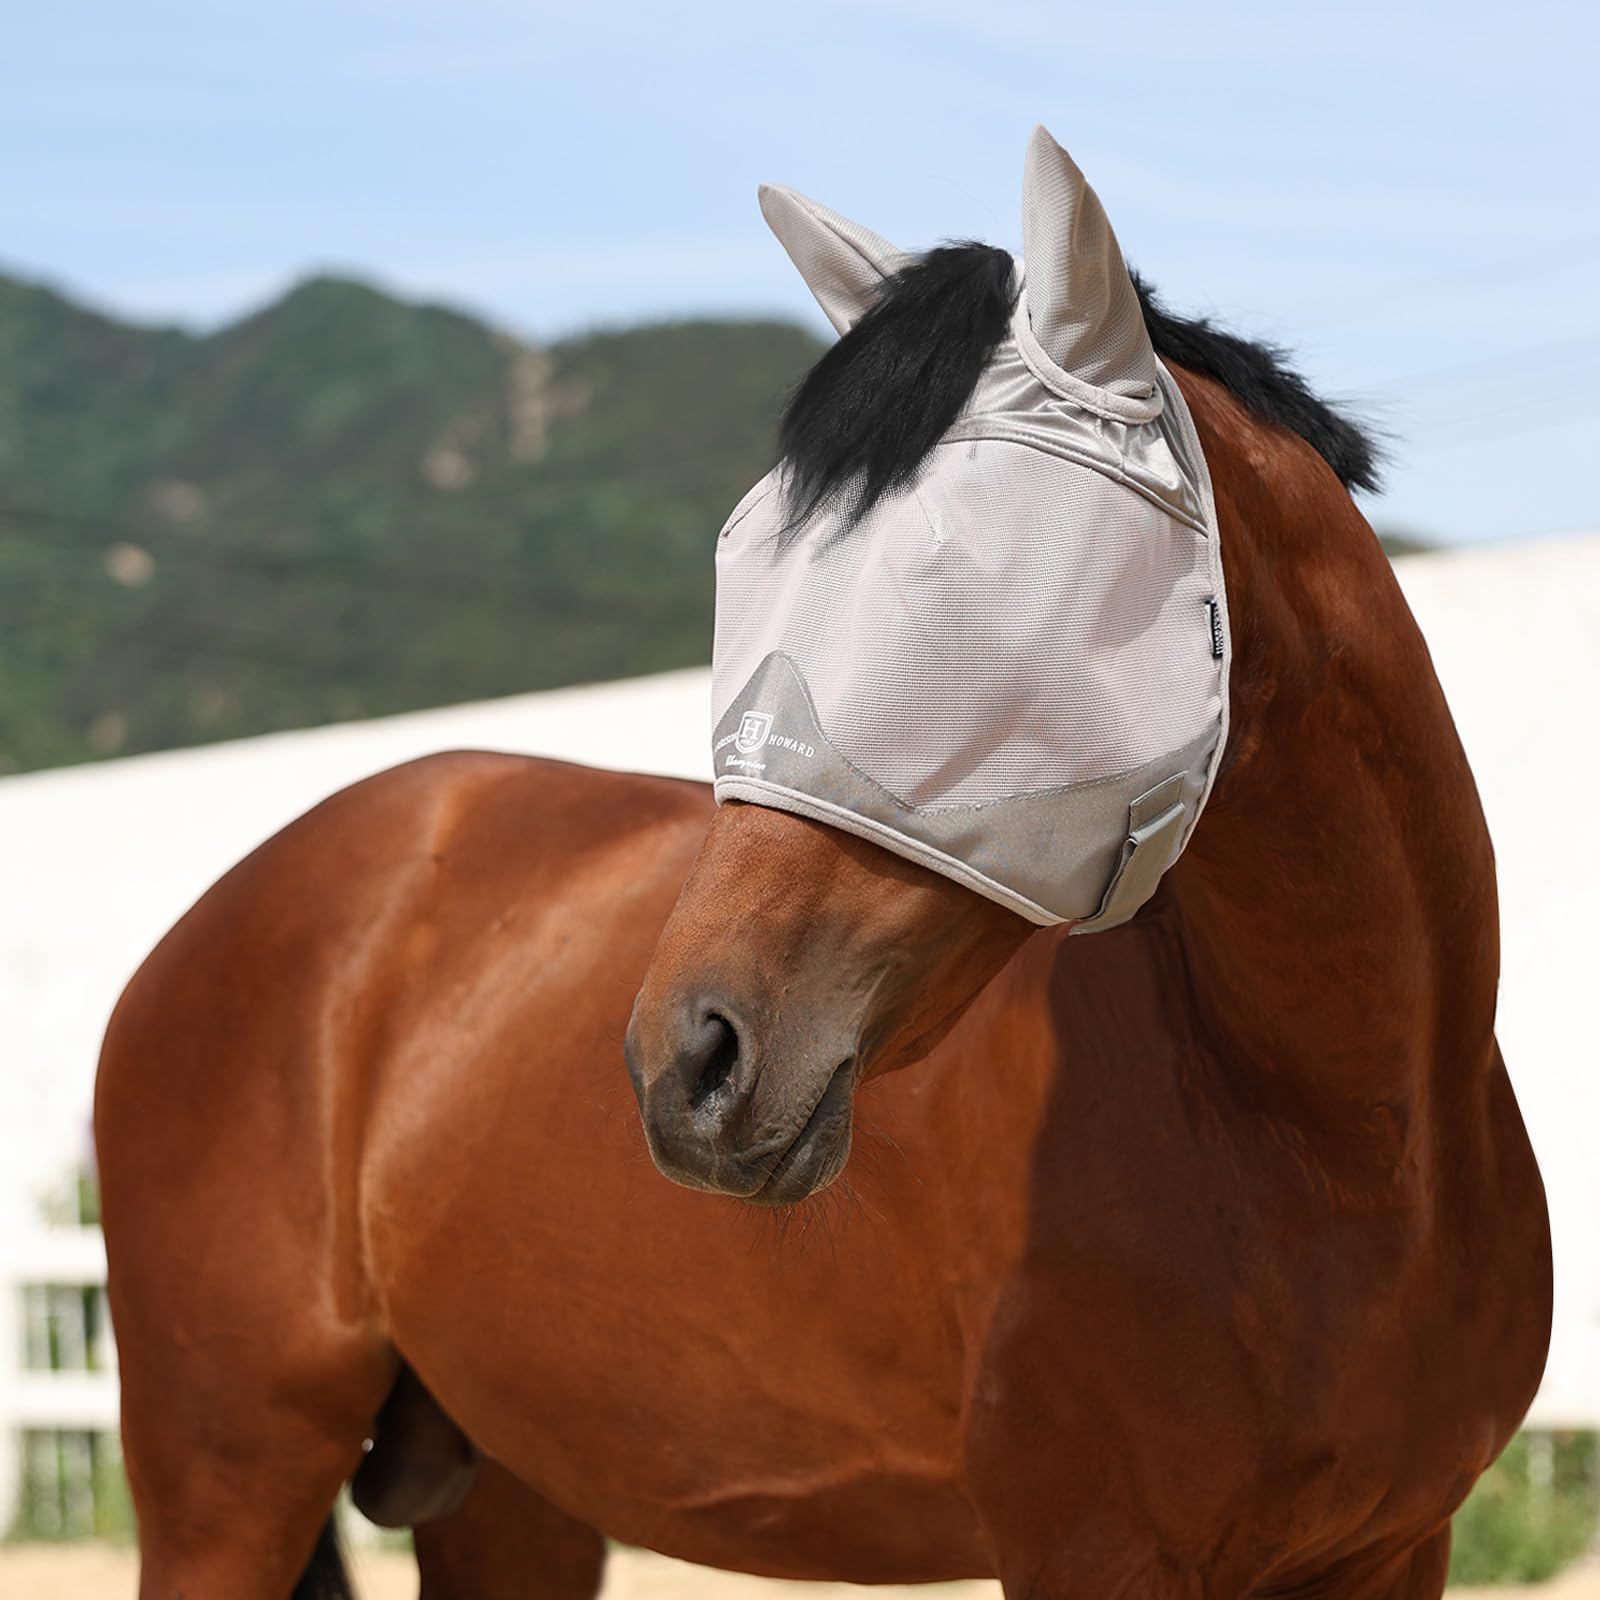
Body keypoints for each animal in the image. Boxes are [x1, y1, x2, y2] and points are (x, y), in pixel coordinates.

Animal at [94, 128, 1550, 1600]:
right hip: (229, 1481)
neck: (1345, 1146)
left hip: (509, 1494)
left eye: (971, 597)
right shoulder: (1092, 1549)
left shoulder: (1394, 1548)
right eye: (745, 566)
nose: (687, 1063)